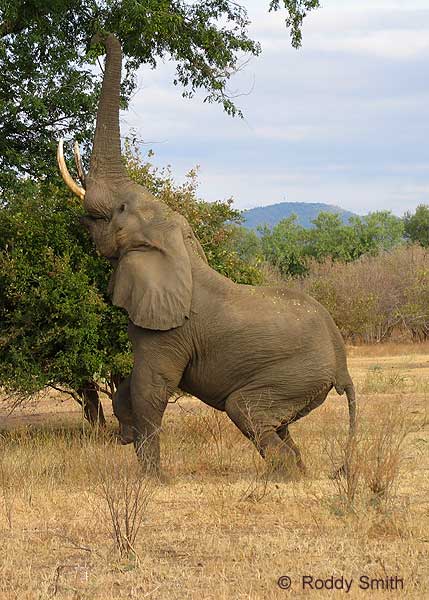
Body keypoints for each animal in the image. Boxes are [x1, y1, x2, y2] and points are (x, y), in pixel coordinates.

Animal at [56, 32, 354, 476]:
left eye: (121, 209)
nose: (101, 34)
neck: (178, 245)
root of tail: (344, 364)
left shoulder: (169, 331)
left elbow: (151, 386)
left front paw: (153, 480)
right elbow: (130, 387)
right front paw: (128, 439)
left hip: (293, 374)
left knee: (246, 412)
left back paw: (281, 478)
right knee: (277, 427)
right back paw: (297, 473)